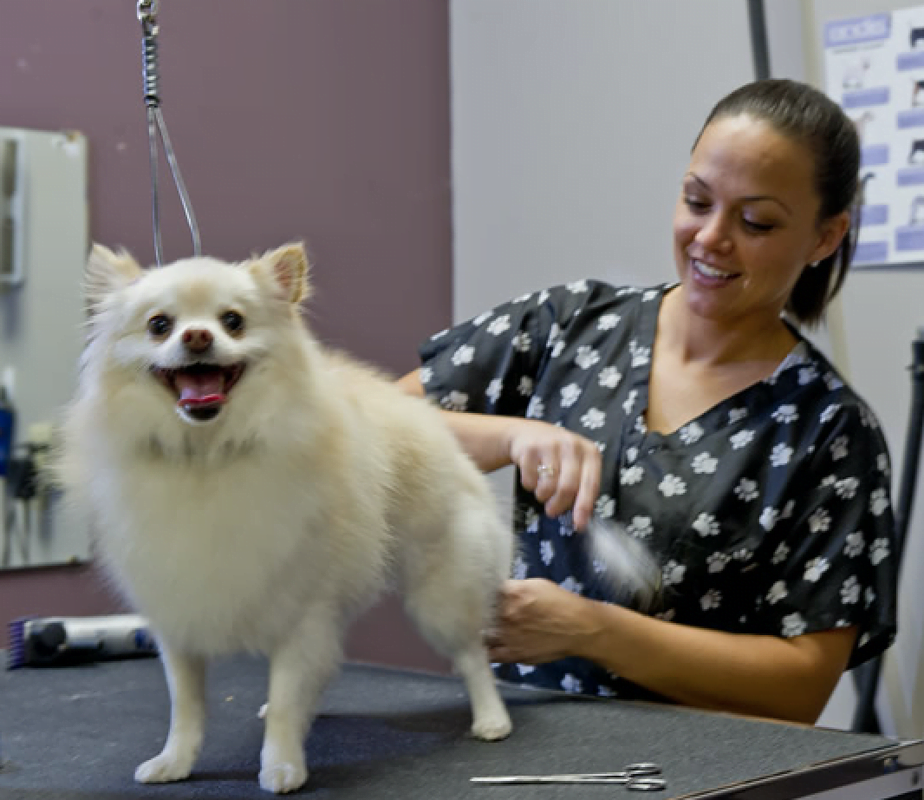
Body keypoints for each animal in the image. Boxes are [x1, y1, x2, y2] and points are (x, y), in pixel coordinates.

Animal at [61, 245, 516, 792]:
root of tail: (436, 426)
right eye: (159, 325)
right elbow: (186, 705)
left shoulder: (301, 612)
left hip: (441, 593)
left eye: (232, 321)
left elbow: (284, 697)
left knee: (473, 655)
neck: (205, 456)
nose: (197, 336)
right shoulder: (177, 610)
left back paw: (491, 718)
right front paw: (175, 761)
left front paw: (281, 765)